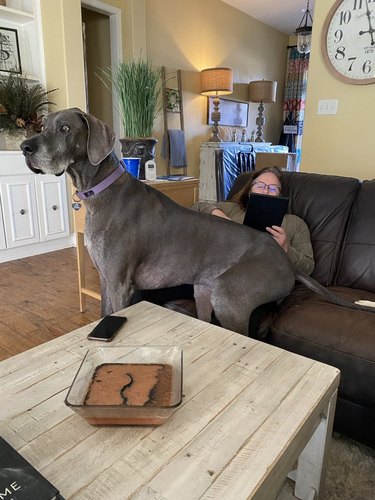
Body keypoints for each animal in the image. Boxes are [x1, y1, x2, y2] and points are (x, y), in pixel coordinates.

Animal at [20, 109, 375, 336]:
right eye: (44, 124)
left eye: (65, 129)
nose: (25, 146)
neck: (99, 189)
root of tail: (286, 261)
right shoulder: (107, 280)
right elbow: (103, 313)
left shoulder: (120, 283)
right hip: (204, 292)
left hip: (230, 298)